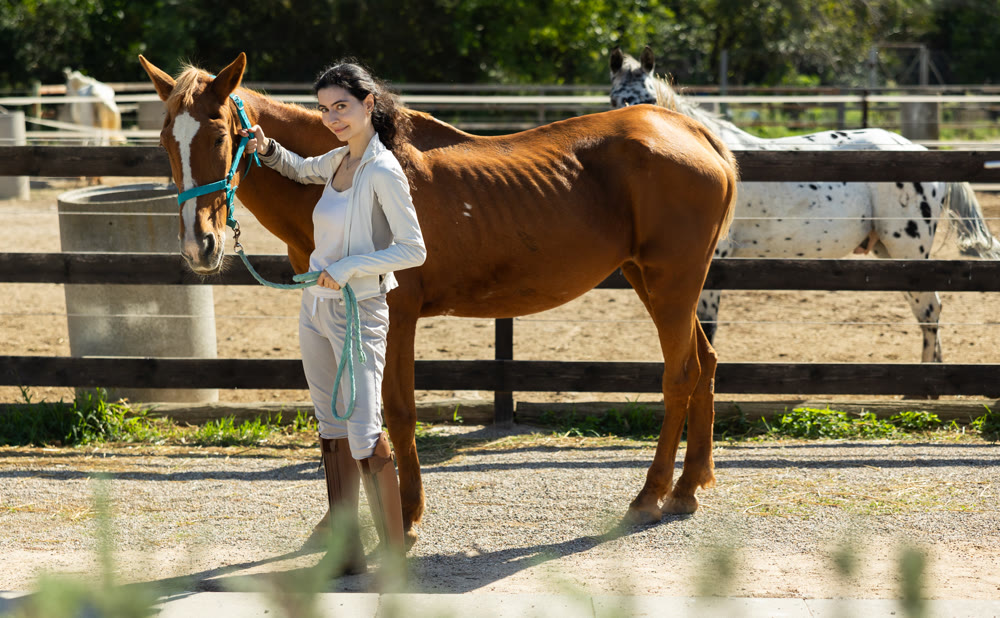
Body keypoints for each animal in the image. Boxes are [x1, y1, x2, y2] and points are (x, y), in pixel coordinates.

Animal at [138, 52, 739, 544]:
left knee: (681, 375)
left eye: (219, 136)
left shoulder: (397, 317)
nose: (199, 245)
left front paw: (405, 518)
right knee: (707, 363)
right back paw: (689, 487)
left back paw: (650, 496)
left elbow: (398, 413)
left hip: (671, 283)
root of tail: (690, 130)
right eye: (166, 141)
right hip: (653, 281)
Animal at [610, 47, 1000, 363]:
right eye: (614, 99)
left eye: (650, 98)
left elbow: (703, 327)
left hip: (908, 250)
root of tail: (918, 150)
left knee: (930, 309)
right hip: (889, 252)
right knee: (924, 311)